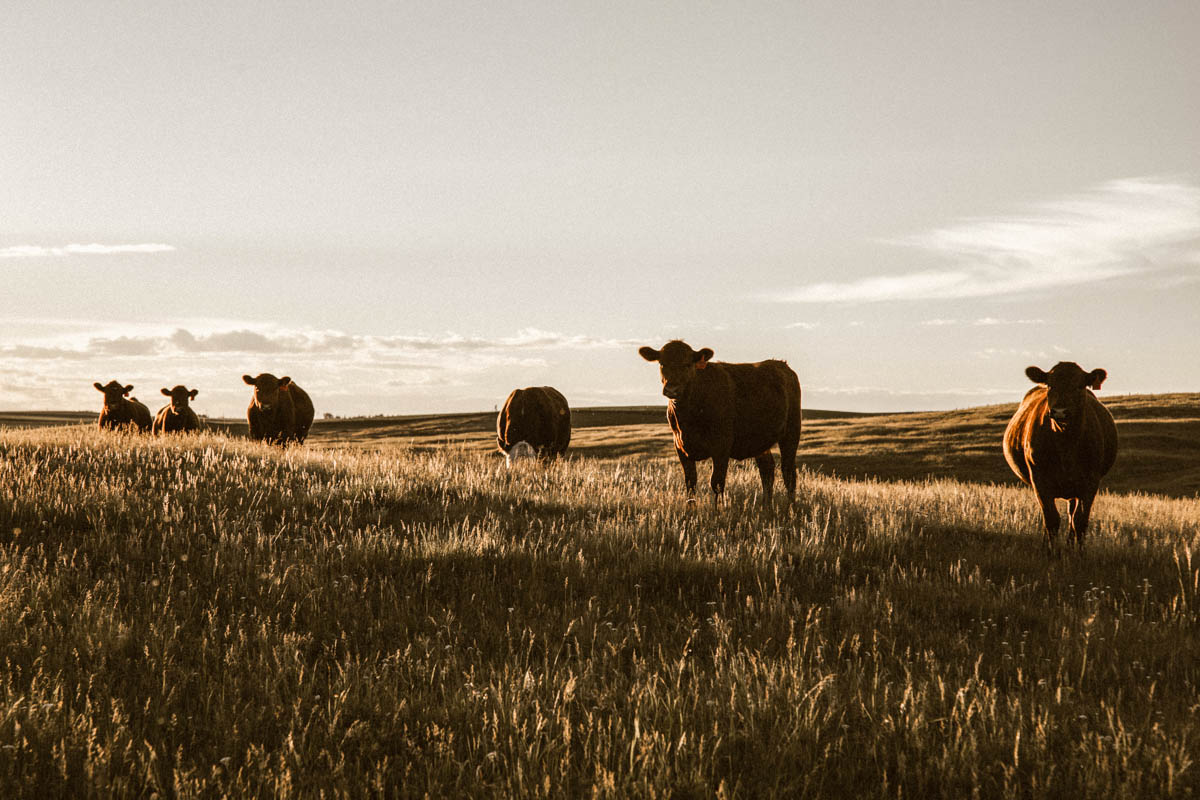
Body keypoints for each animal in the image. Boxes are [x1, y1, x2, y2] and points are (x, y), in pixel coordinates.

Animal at [638, 340, 796, 506]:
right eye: (662, 364)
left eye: (687, 364)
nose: (672, 389)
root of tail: (780, 364)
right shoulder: (680, 447)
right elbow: (690, 483)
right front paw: (691, 510)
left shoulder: (721, 446)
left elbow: (717, 483)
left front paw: (718, 510)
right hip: (760, 441)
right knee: (767, 470)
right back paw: (766, 507)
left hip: (791, 432)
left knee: (788, 472)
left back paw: (791, 507)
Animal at [998, 362, 1118, 551]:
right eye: (1050, 385)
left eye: (1079, 386)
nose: (1060, 411)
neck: (1065, 444)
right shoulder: (1039, 479)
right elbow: (1051, 519)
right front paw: (1051, 551)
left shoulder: (1091, 481)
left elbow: (1080, 521)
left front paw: (1079, 552)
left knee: (1071, 515)